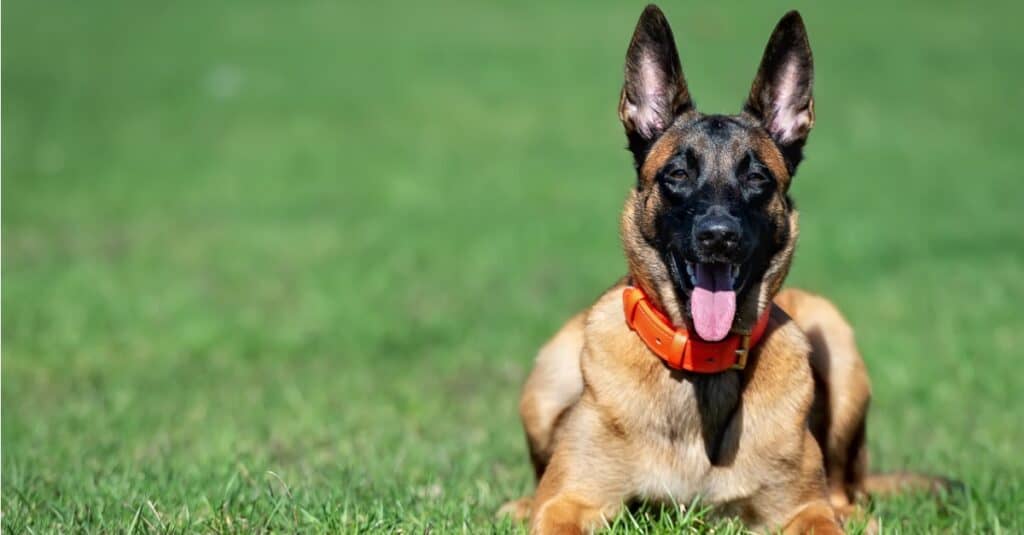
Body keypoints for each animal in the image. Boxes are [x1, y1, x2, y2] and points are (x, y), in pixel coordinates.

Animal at [499, 5, 946, 532]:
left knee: (846, 491)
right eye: (677, 173)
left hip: (835, 337)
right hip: (546, 379)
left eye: (755, 177)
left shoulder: (803, 507)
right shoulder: (570, 500)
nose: (718, 237)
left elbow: (819, 512)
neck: (701, 369)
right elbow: (555, 504)